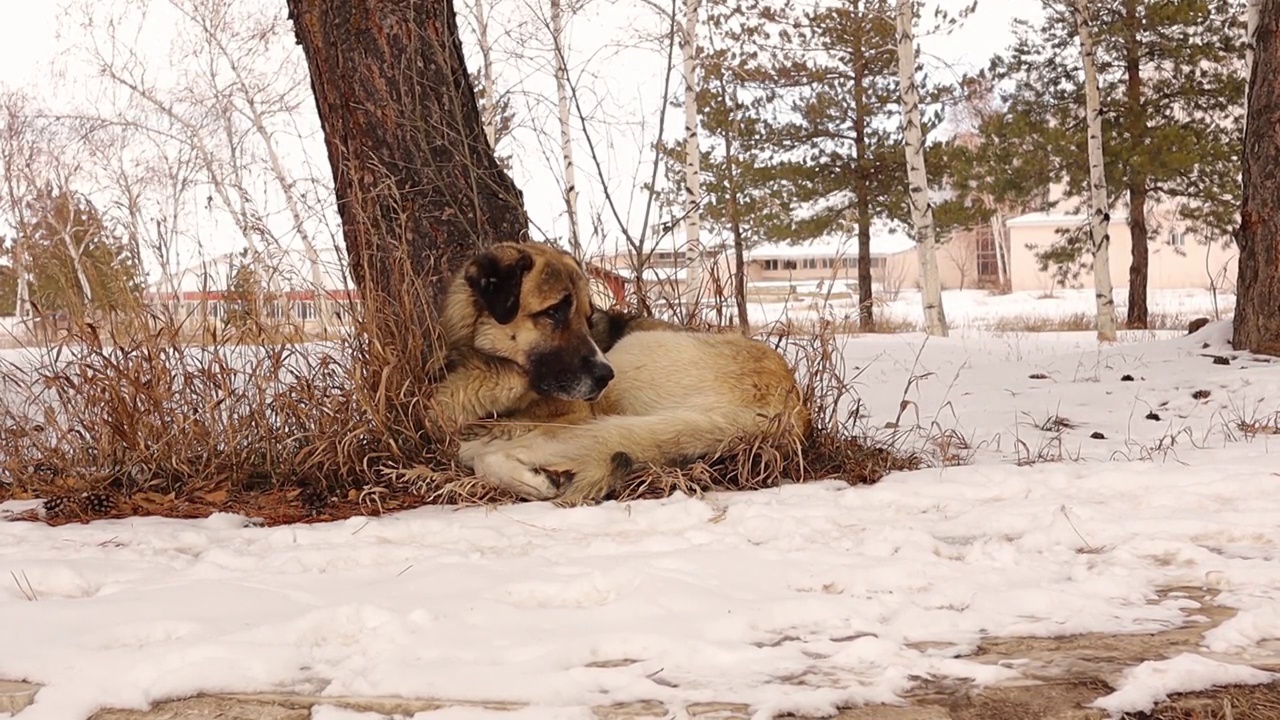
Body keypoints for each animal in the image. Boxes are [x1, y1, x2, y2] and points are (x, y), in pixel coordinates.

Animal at [430, 240, 808, 504]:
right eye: (554, 312)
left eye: (587, 317)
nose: (603, 376)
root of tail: (789, 408)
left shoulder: (574, 418)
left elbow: (478, 453)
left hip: (630, 359)